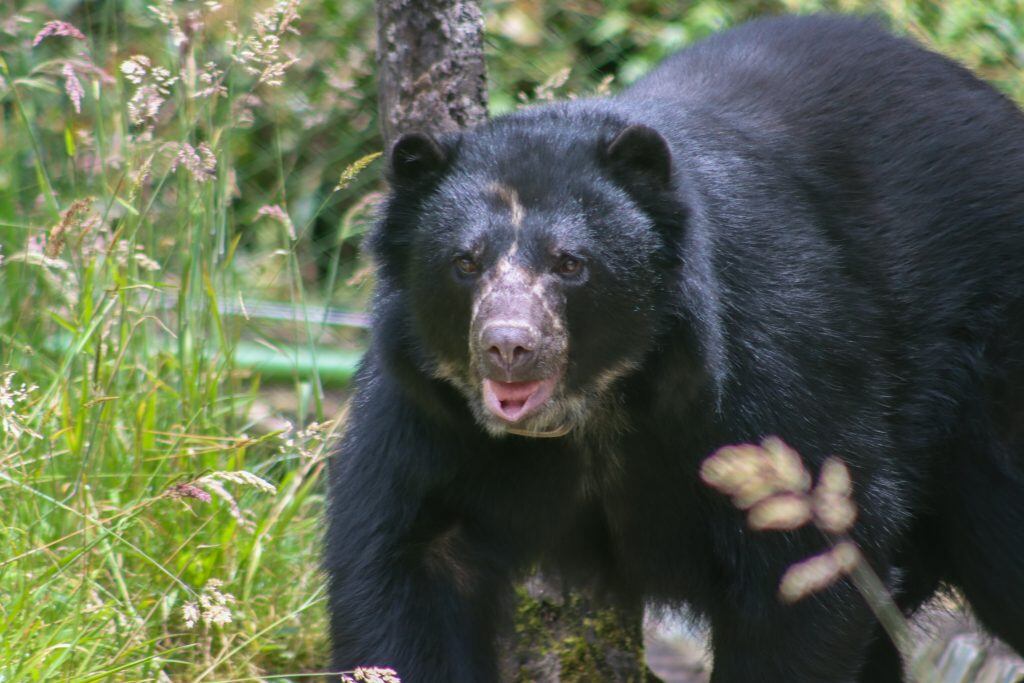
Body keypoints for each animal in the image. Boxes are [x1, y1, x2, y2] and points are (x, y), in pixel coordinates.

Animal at [324, 14, 1024, 683]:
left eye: (570, 264)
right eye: (464, 263)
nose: (508, 347)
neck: (596, 404)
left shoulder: (775, 362)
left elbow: (803, 562)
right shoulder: (428, 410)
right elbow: (403, 564)